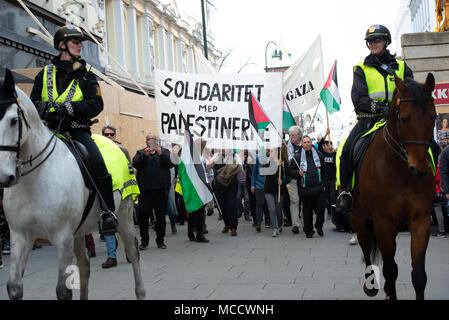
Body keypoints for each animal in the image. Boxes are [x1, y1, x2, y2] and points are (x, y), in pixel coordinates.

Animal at [0, 68, 145, 300]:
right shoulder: (20, 236)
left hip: (123, 215)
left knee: (133, 253)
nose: (5, 176)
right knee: (85, 266)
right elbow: (14, 287)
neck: (35, 179)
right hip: (79, 230)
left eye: (14, 120)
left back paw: (140, 292)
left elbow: (63, 290)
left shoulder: (62, 236)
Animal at [352, 73, 436, 300]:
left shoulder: (420, 220)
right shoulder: (383, 221)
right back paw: (371, 285)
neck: (401, 171)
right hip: (359, 217)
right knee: (365, 244)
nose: (419, 167)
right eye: (404, 118)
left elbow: (419, 274)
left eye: (434, 117)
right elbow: (390, 270)